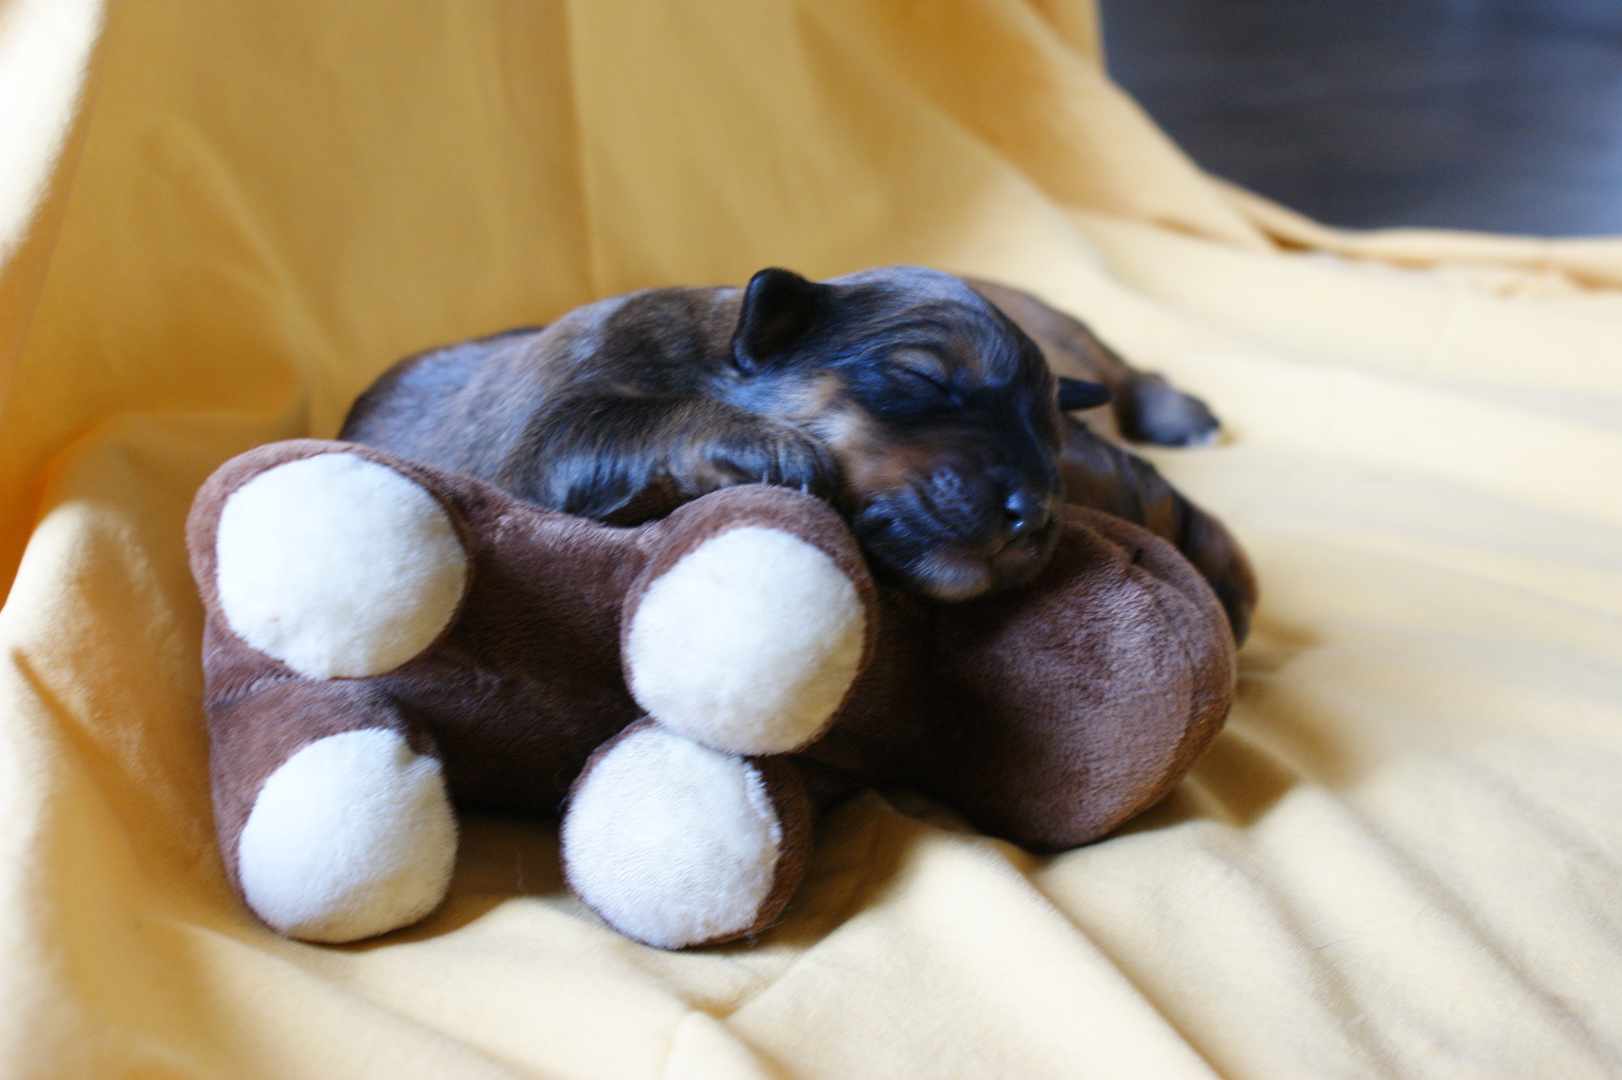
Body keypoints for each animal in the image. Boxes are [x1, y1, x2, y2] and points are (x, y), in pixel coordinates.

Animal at [341, 266, 1256, 639]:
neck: (707, 348)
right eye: (923, 378)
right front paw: (777, 451)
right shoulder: (551, 430)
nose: (1034, 511)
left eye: (1048, 442)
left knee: (1128, 374)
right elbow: (633, 423)